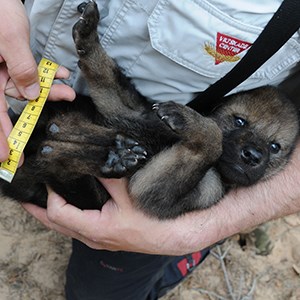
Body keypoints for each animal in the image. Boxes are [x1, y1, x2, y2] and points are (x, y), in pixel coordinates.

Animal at [0, 1, 298, 219]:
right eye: (239, 121)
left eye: (275, 148)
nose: (253, 155)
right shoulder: (132, 111)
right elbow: (105, 74)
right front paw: (89, 37)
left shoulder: (161, 190)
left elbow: (211, 138)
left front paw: (191, 121)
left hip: (76, 192)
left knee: (59, 165)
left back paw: (108, 155)